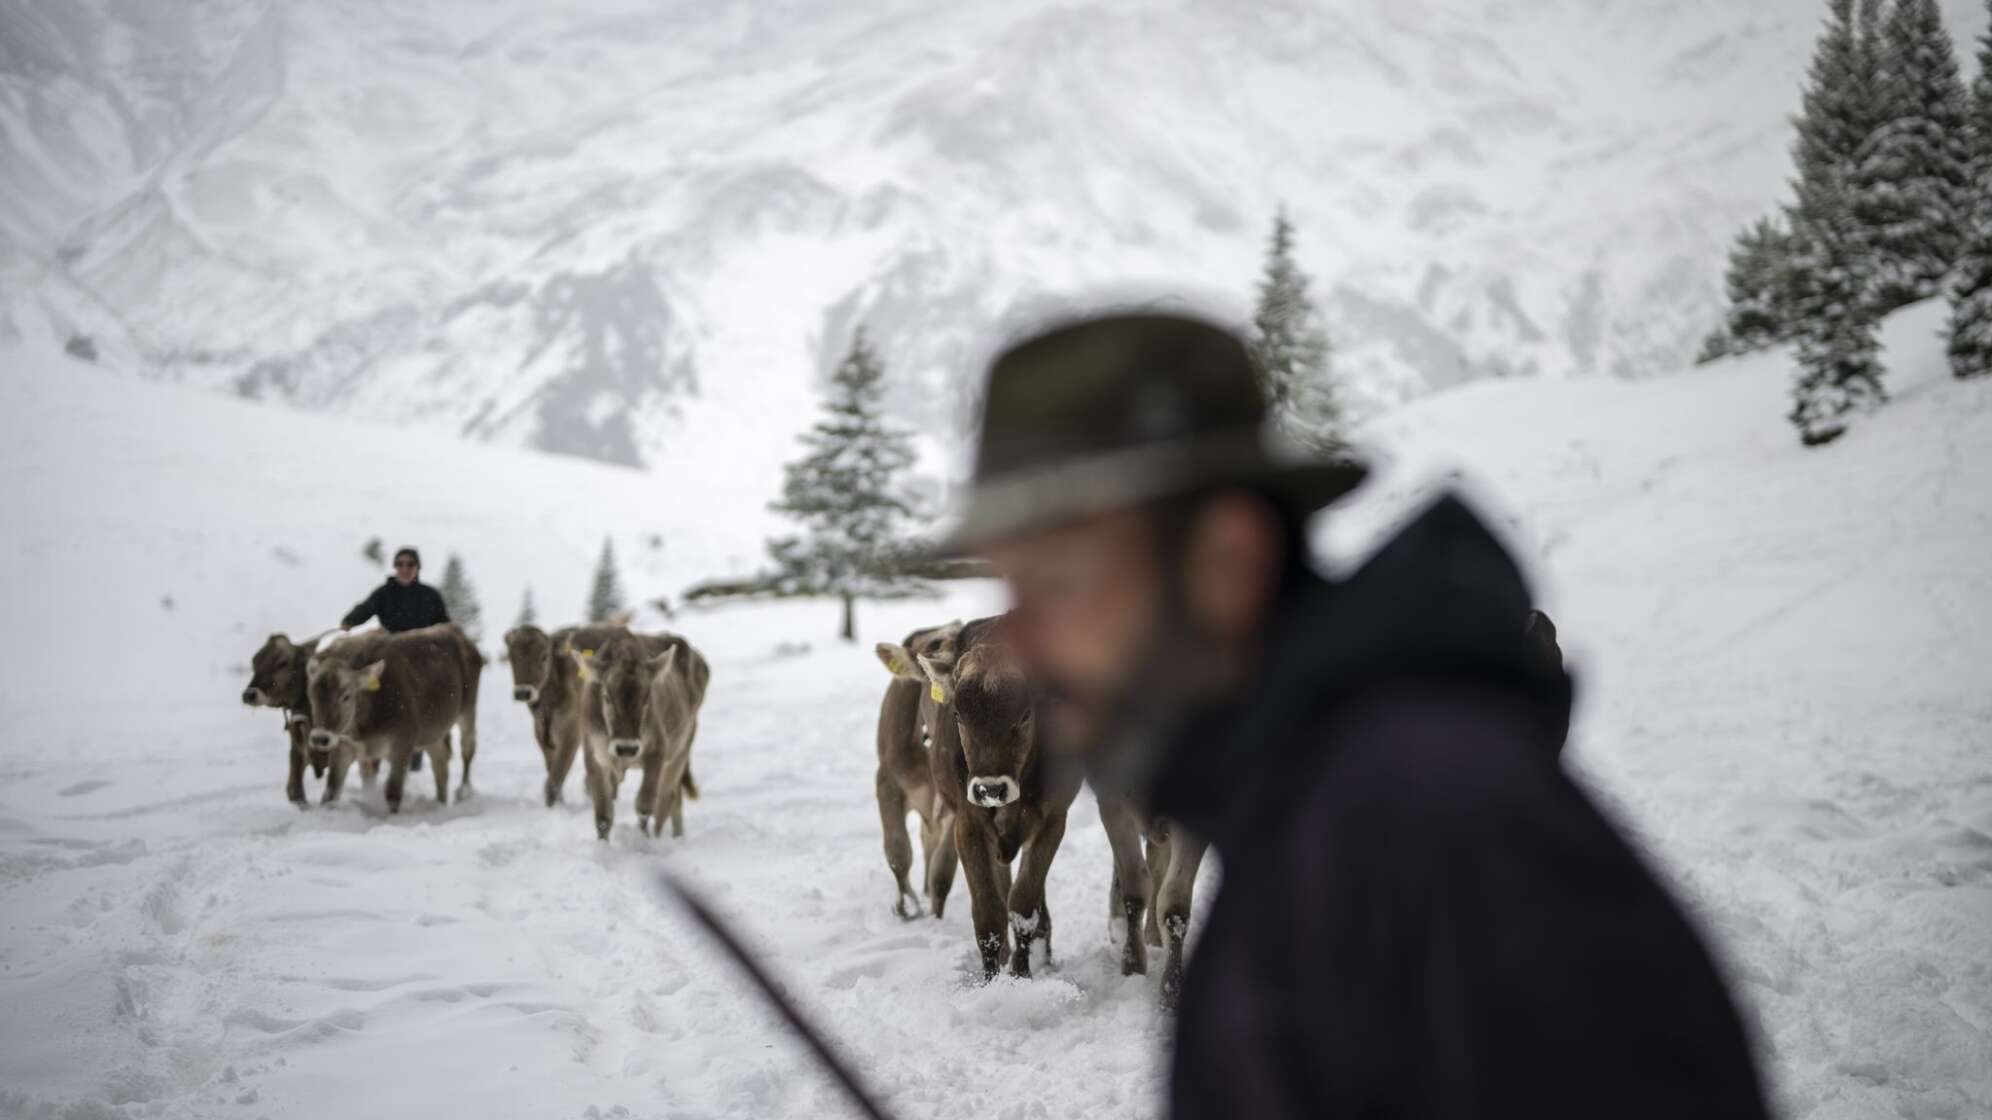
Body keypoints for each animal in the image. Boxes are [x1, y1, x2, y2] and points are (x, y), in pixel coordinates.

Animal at [308, 617, 484, 809]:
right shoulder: (344, 746)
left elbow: (393, 793)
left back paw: (464, 790)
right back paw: (440, 802)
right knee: (441, 759)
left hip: (468, 708)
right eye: (311, 695)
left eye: (346, 696)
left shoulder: (404, 741)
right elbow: (330, 793)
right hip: (432, 730)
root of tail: (454, 628)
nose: (320, 738)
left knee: (468, 747)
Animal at [569, 629, 709, 837]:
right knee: (674, 800)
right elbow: (603, 816)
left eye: (647, 698)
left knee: (665, 801)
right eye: (606, 697)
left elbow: (644, 805)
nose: (626, 748)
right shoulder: (594, 756)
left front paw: (643, 838)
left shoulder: (657, 751)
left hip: (681, 748)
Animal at [888, 609, 1075, 976]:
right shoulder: (968, 823)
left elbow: (1023, 907)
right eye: (959, 715)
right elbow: (989, 914)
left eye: (1025, 714)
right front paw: (992, 978)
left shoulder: (1052, 820)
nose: (991, 788)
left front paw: (1021, 973)